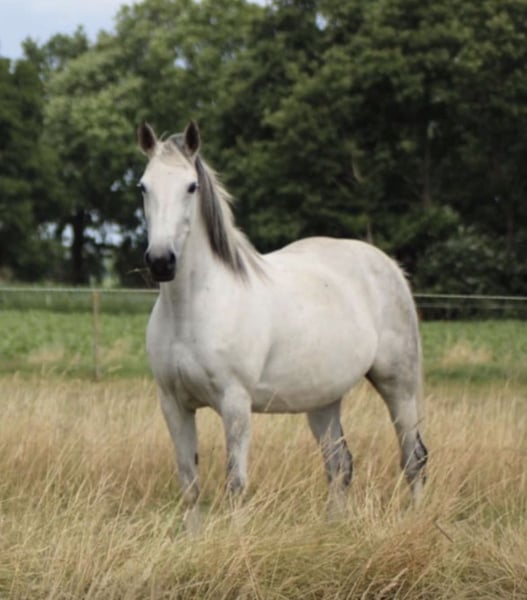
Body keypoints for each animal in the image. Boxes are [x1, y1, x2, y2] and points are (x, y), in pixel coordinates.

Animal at [137, 120, 428, 527]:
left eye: (191, 186)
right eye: (143, 186)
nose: (161, 261)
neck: (191, 309)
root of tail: (389, 266)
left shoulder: (235, 404)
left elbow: (236, 484)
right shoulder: (173, 404)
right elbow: (190, 484)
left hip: (398, 386)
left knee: (413, 457)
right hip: (324, 400)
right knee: (340, 465)